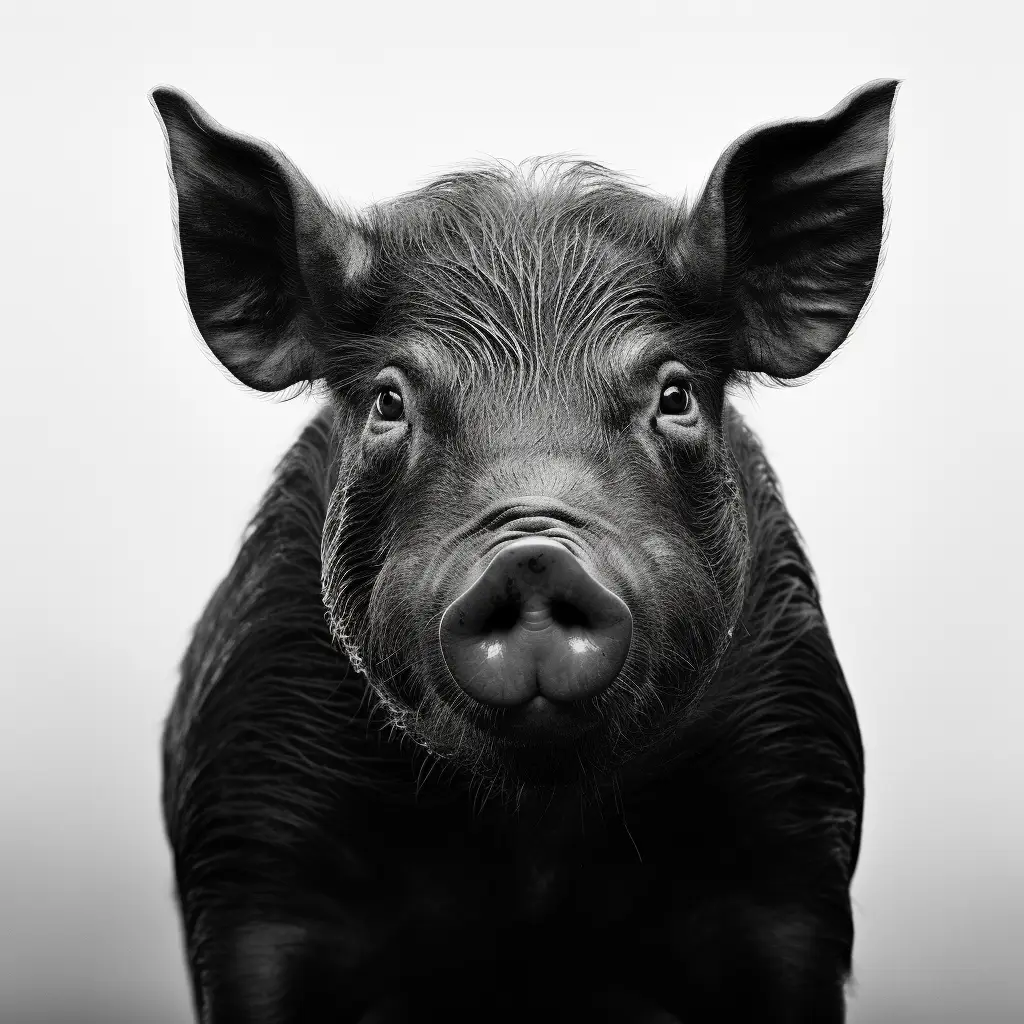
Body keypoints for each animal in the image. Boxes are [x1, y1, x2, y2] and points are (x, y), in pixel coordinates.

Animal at [152, 79, 898, 1024]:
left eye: (676, 395)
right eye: (389, 402)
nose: (534, 554)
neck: (534, 836)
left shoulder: (793, 851)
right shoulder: (252, 862)